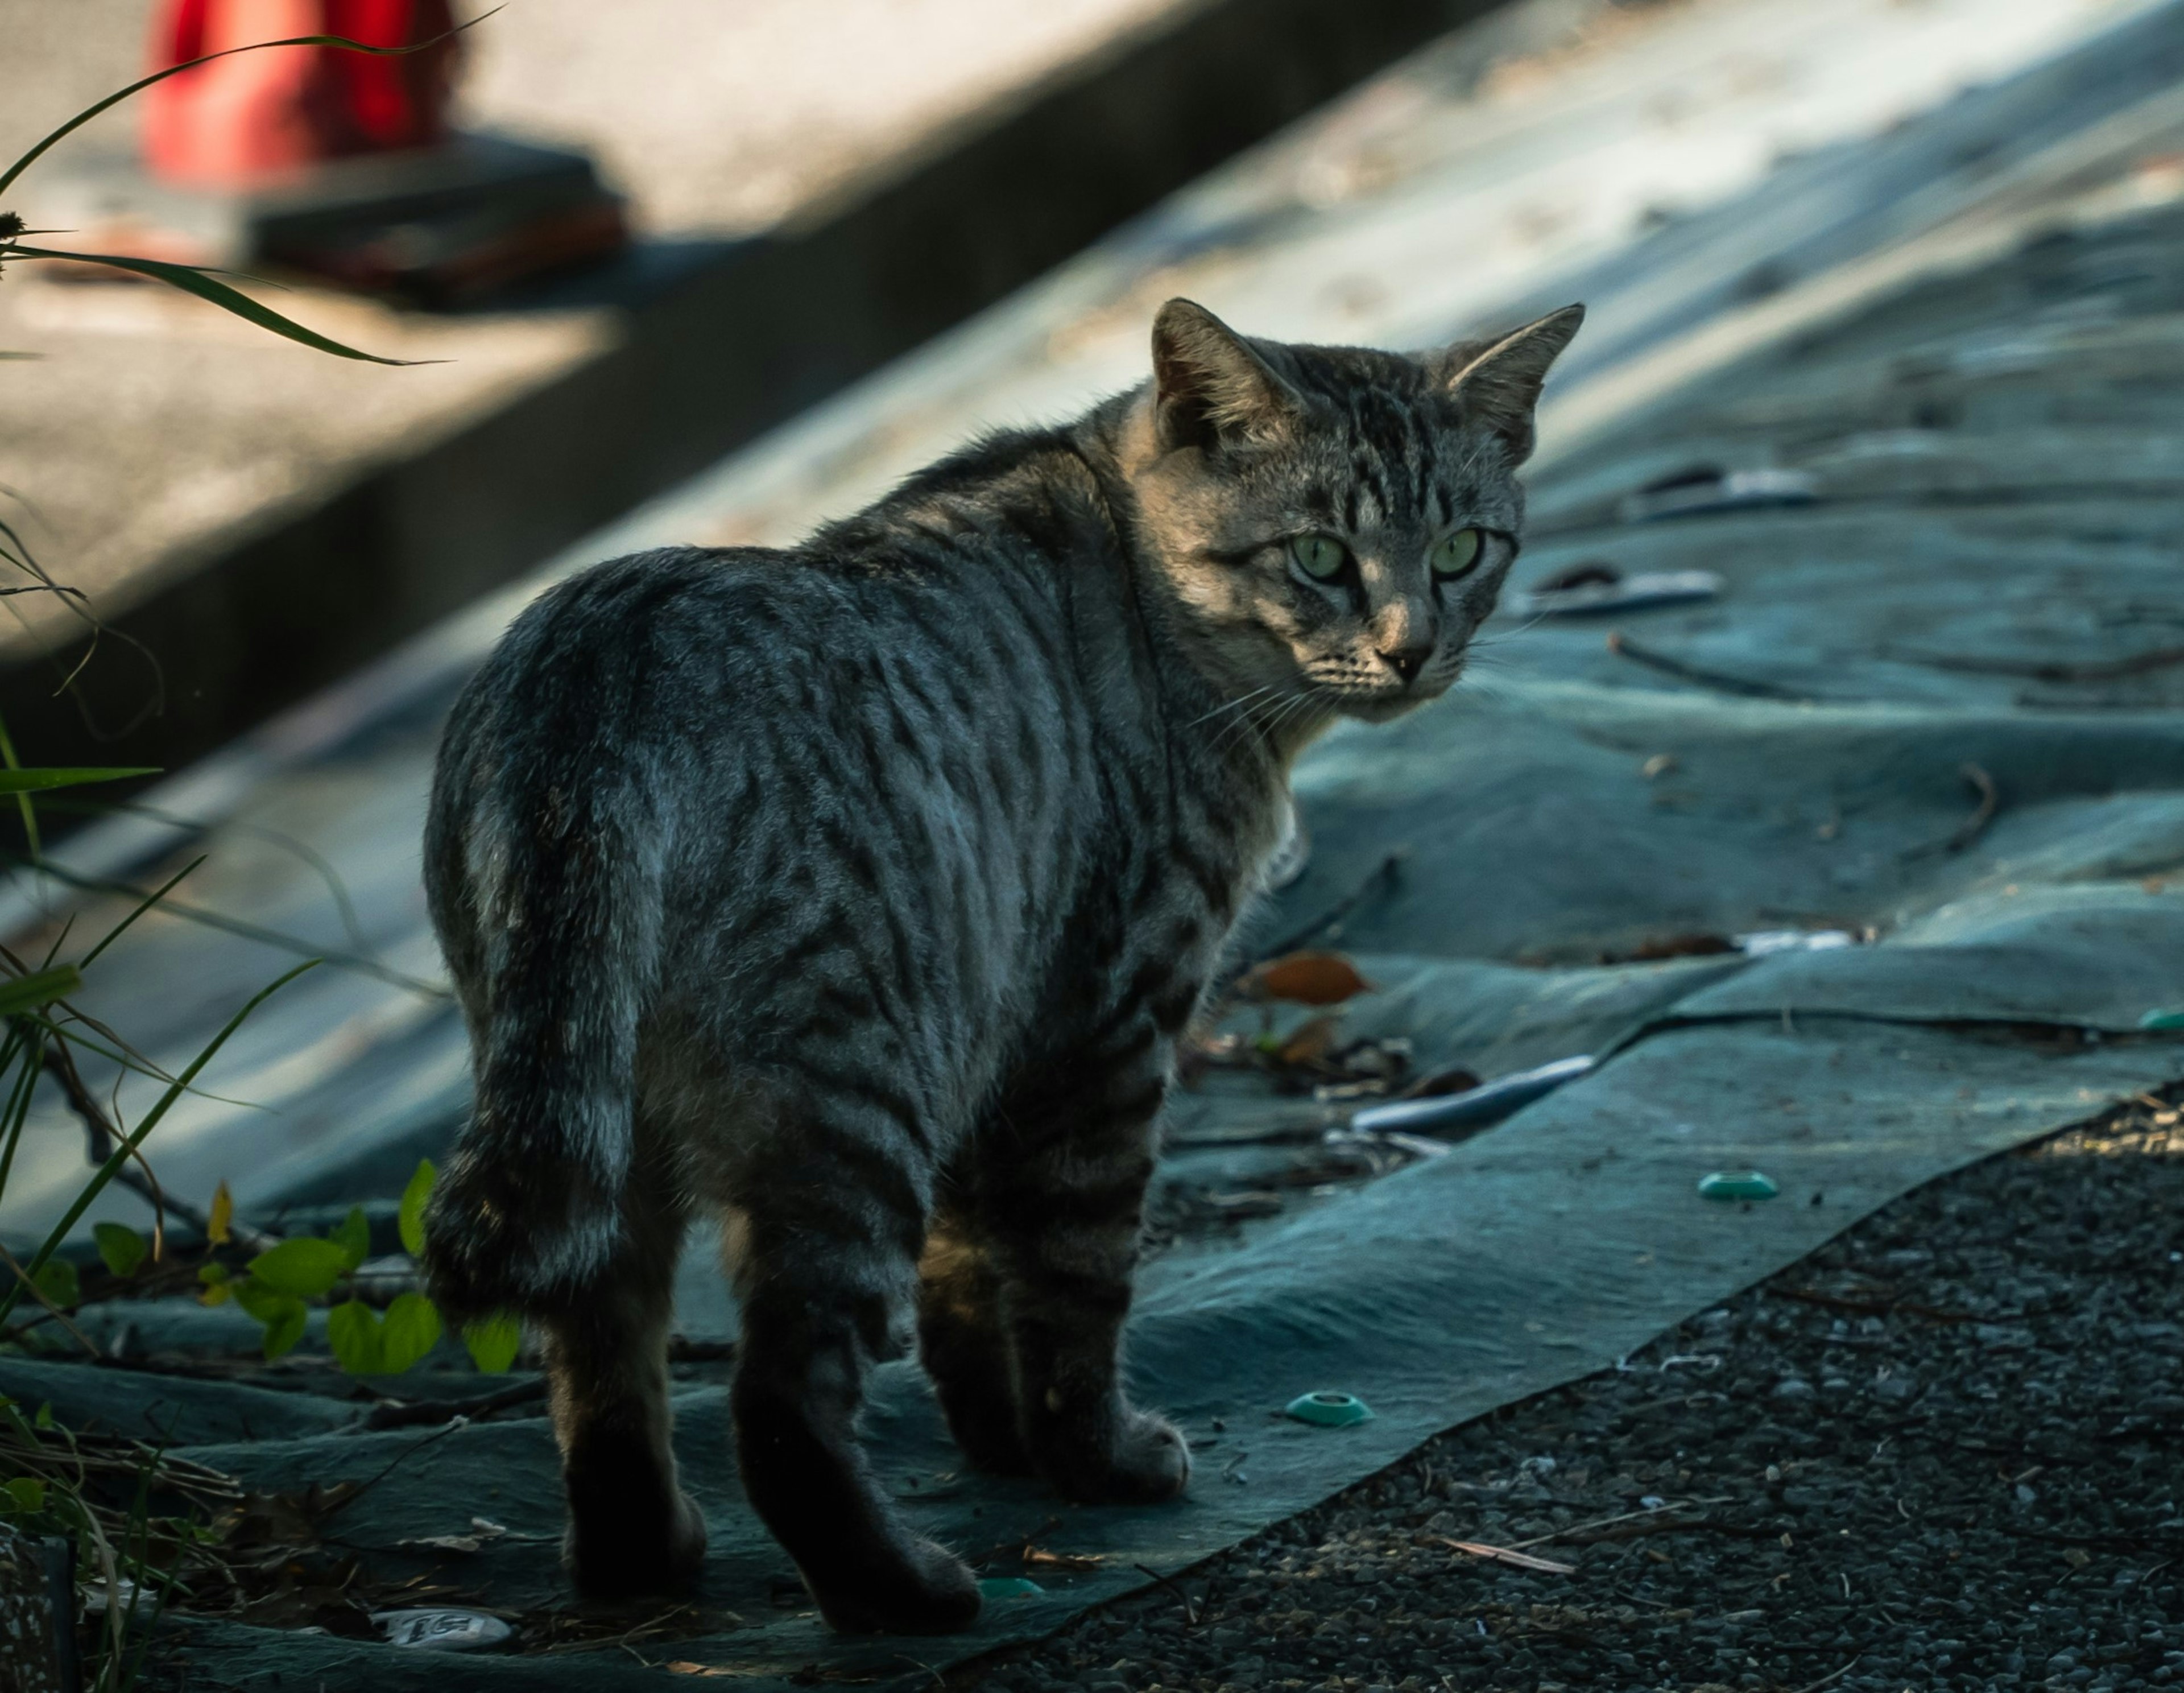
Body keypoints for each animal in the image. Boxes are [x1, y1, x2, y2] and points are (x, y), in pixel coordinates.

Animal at [421, 297, 1590, 1634]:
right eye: (1317, 557)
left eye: (1458, 550)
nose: (1409, 650)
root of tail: (594, 672)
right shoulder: (1109, 1022)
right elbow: (1078, 1284)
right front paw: (1096, 1458)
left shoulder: (994, 1012)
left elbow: (970, 1277)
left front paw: (998, 1441)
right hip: (850, 1100)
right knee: (777, 1401)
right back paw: (903, 1590)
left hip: (607, 1118)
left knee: (600, 1358)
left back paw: (643, 1556)